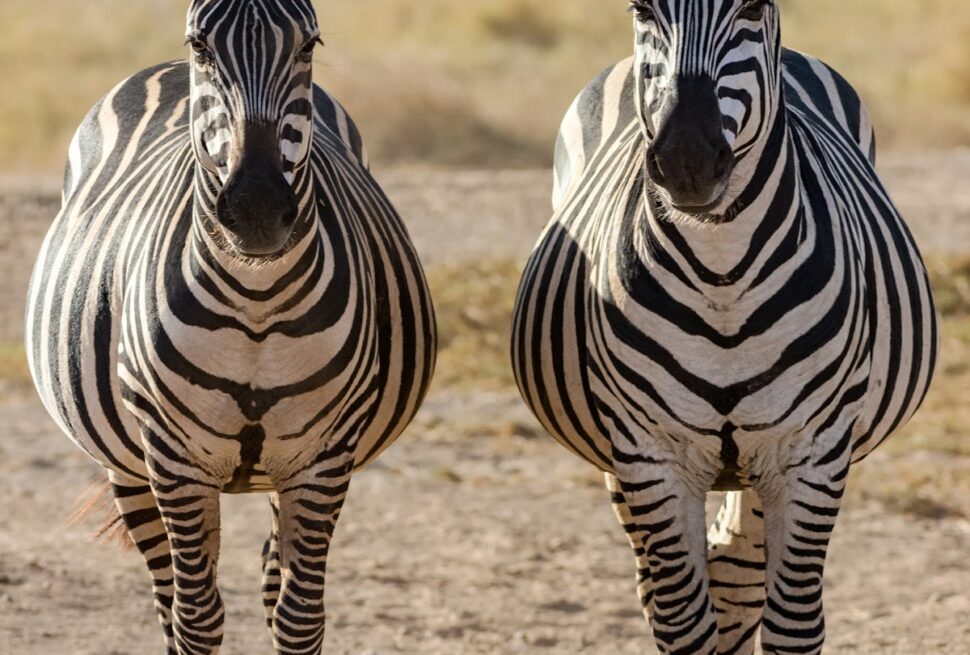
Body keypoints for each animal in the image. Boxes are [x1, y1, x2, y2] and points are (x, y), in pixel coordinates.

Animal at [25, 1, 435, 653]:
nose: (258, 212)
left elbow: (299, 618)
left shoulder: (324, 457)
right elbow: (196, 619)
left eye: (308, 44)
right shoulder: (173, 459)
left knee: (270, 580)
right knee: (169, 599)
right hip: (128, 466)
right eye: (201, 45)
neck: (256, 302)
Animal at [511, 1, 938, 653]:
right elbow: (684, 620)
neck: (722, 275)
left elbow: (789, 624)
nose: (686, 162)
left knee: (737, 574)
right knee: (672, 588)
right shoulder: (649, 452)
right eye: (641, 8)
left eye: (753, 8)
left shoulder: (812, 452)